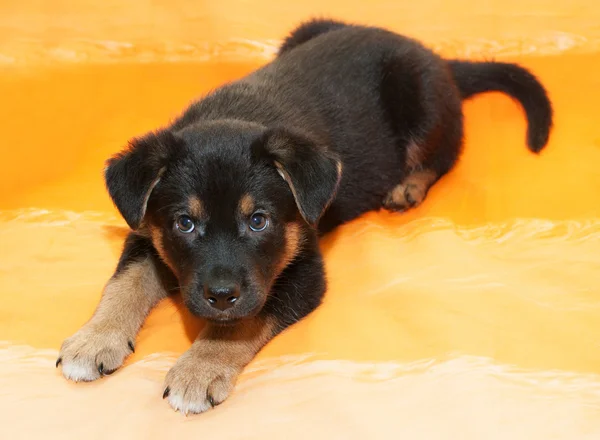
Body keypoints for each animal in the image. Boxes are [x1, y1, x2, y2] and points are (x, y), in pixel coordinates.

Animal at [56, 18, 552, 414]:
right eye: (185, 223)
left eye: (258, 221)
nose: (220, 296)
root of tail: (432, 54)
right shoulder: (146, 232)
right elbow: (124, 283)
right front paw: (94, 339)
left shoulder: (304, 274)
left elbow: (244, 320)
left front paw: (198, 370)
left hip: (422, 100)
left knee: (447, 152)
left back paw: (408, 186)